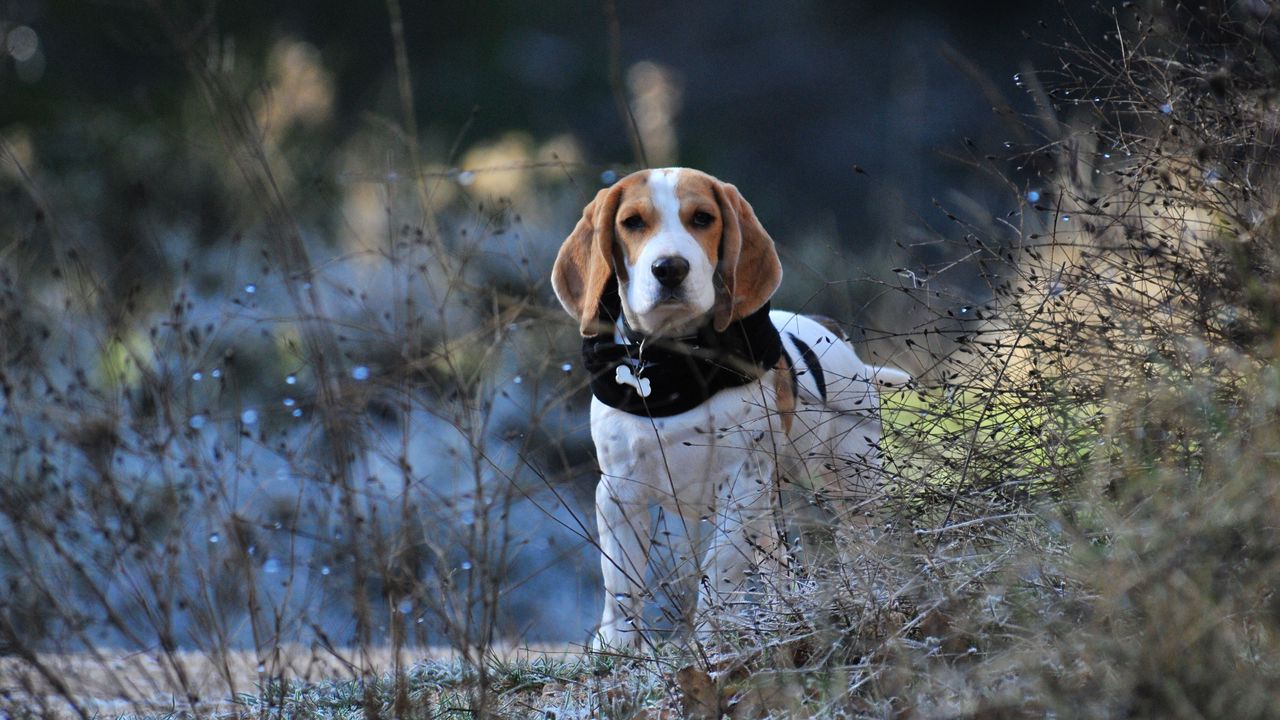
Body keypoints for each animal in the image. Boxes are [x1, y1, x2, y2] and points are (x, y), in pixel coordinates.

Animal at [552, 166, 911, 645]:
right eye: (632, 222)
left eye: (703, 218)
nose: (670, 268)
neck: (674, 367)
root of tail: (833, 334)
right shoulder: (619, 494)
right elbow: (622, 586)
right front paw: (617, 646)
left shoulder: (740, 487)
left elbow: (718, 572)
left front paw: (710, 639)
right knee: (777, 563)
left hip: (852, 482)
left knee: (860, 543)